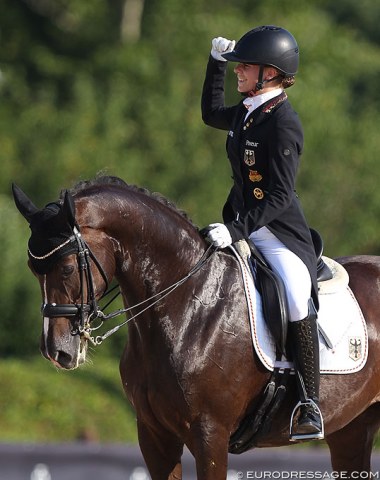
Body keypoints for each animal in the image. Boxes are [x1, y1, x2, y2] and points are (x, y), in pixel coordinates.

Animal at [11, 175, 380, 476]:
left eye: (67, 268)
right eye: (32, 269)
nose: (56, 350)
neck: (188, 305)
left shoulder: (209, 435)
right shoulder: (154, 435)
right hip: (352, 430)